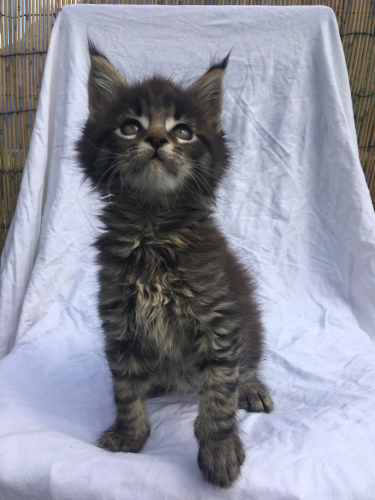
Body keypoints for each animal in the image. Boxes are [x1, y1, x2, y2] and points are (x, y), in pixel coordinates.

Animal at [78, 43, 274, 488]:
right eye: (129, 127)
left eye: (183, 131)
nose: (155, 139)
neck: (152, 230)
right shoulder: (120, 321)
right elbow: (124, 389)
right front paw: (129, 435)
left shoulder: (218, 320)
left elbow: (219, 395)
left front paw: (220, 451)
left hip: (249, 321)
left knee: (247, 362)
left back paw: (252, 387)